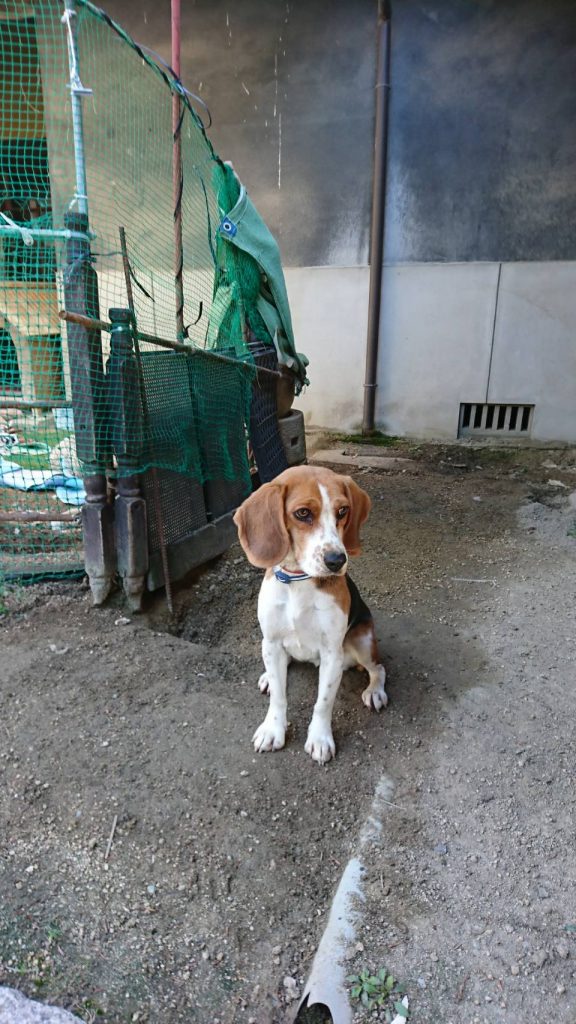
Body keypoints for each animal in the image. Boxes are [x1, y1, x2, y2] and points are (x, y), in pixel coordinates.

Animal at [231, 468, 385, 765]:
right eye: (302, 513)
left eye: (343, 511)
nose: (337, 560)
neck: (298, 581)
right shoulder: (271, 641)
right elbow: (279, 697)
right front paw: (273, 729)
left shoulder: (331, 653)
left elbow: (323, 703)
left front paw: (320, 739)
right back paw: (268, 677)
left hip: (361, 640)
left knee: (378, 669)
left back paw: (375, 691)